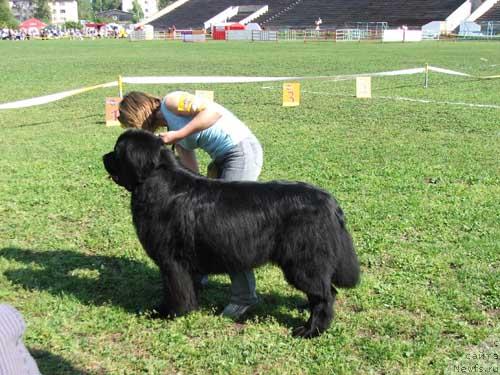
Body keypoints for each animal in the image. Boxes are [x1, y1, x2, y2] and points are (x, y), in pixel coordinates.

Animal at [102, 131, 360, 340]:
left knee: (325, 295)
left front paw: (168, 313)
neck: (156, 180)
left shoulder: (171, 260)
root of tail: (329, 201)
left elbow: (175, 289)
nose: (104, 157)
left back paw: (310, 330)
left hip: (303, 262)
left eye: (117, 151)